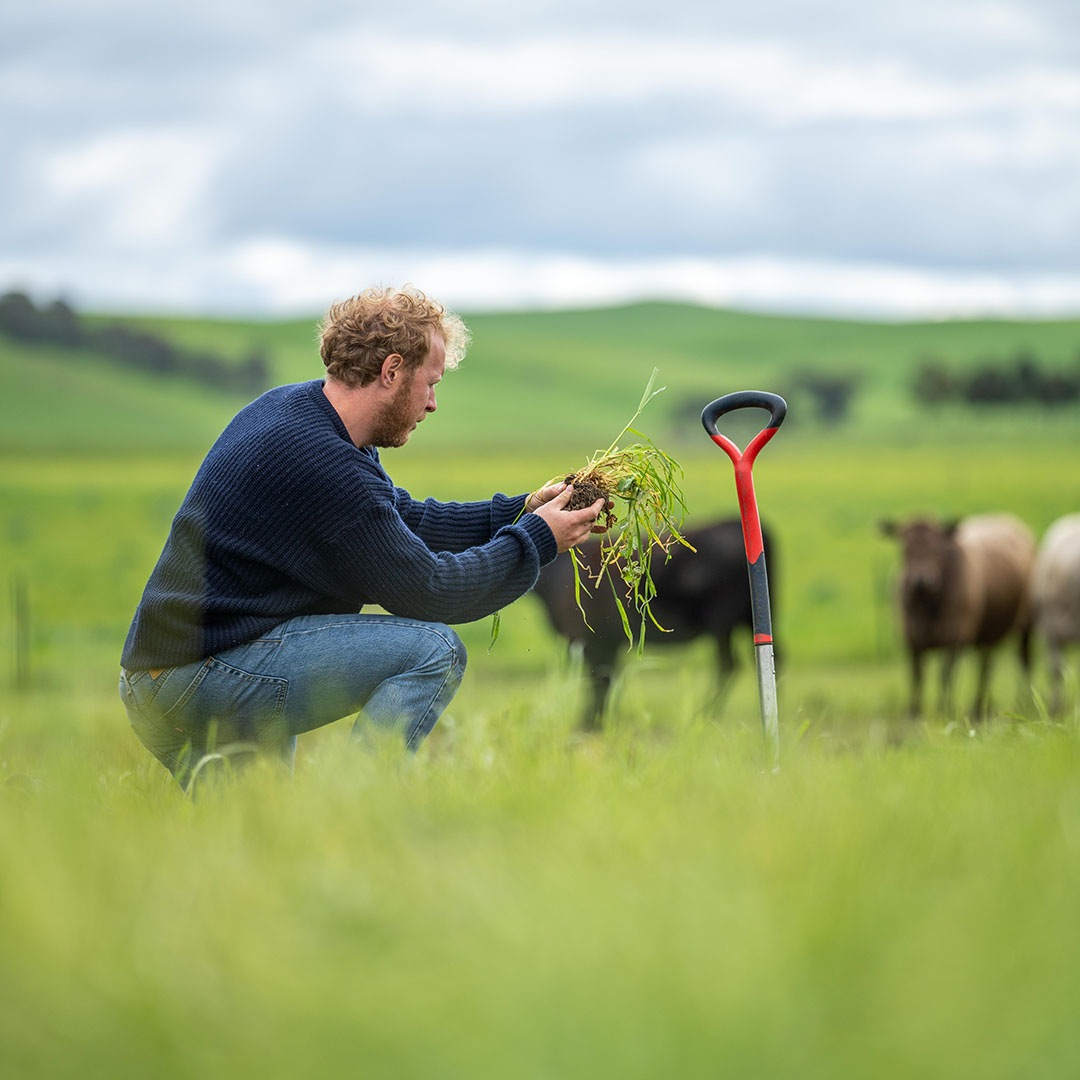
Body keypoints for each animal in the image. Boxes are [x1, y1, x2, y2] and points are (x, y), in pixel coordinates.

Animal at [531, 516, 777, 734]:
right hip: (752, 617)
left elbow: (599, 678)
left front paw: (593, 721)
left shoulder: (592, 641)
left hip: (723, 622)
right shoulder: (607, 643)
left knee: (728, 664)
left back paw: (704, 713)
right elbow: (606, 679)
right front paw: (601, 718)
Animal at [876, 511, 1036, 721]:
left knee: (1024, 661)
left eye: (936, 548)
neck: (928, 605)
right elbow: (917, 675)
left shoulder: (954, 639)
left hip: (1027, 626)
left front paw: (945, 709)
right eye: (904, 548)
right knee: (985, 666)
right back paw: (979, 709)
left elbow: (945, 675)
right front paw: (913, 712)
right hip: (988, 634)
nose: (921, 580)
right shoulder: (912, 640)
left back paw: (1022, 704)